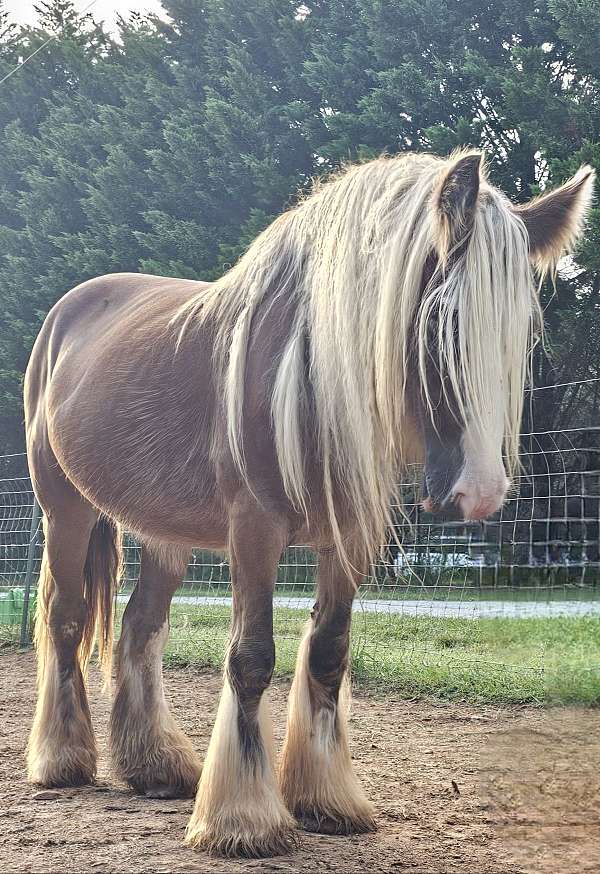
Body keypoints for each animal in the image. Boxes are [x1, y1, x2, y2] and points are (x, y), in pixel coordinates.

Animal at [24, 150, 594, 857]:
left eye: (518, 332)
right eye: (441, 320)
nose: (480, 492)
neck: (309, 378)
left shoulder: (348, 538)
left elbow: (328, 653)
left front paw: (326, 799)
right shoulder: (254, 530)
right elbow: (250, 659)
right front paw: (243, 818)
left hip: (165, 533)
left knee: (140, 628)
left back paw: (157, 768)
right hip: (65, 510)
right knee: (67, 619)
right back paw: (62, 760)